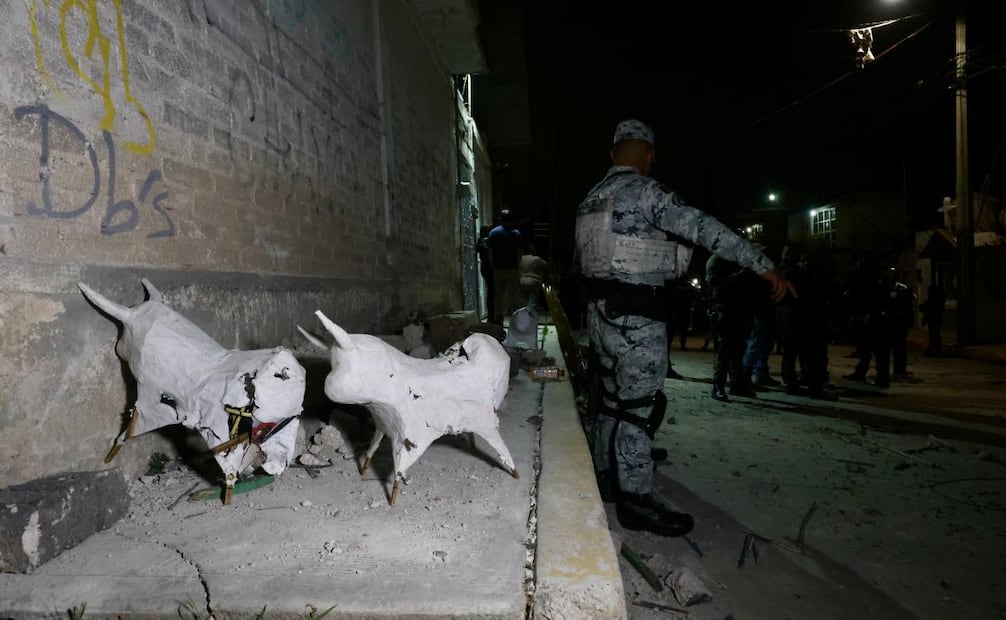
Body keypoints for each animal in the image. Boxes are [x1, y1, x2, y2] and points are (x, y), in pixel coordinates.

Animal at [295, 309, 519, 503]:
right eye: (333, 363)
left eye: (342, 365)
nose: (328, 386)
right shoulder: (384, 426)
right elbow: (370, 453)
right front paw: (364, 470)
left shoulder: (410, 436)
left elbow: (398, 472)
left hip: (484, 419)